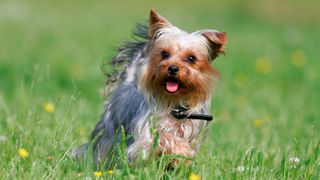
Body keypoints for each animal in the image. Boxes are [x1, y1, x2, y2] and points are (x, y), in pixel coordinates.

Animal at [74, 9, 226, 167]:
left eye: (191, 58)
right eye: (164, 53)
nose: (172, 68)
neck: (174, 104)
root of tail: (128, 82)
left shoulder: (193, 132)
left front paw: (179, 158)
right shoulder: (145, 134)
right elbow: (162, 138)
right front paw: (181, 150)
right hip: (110, 128)